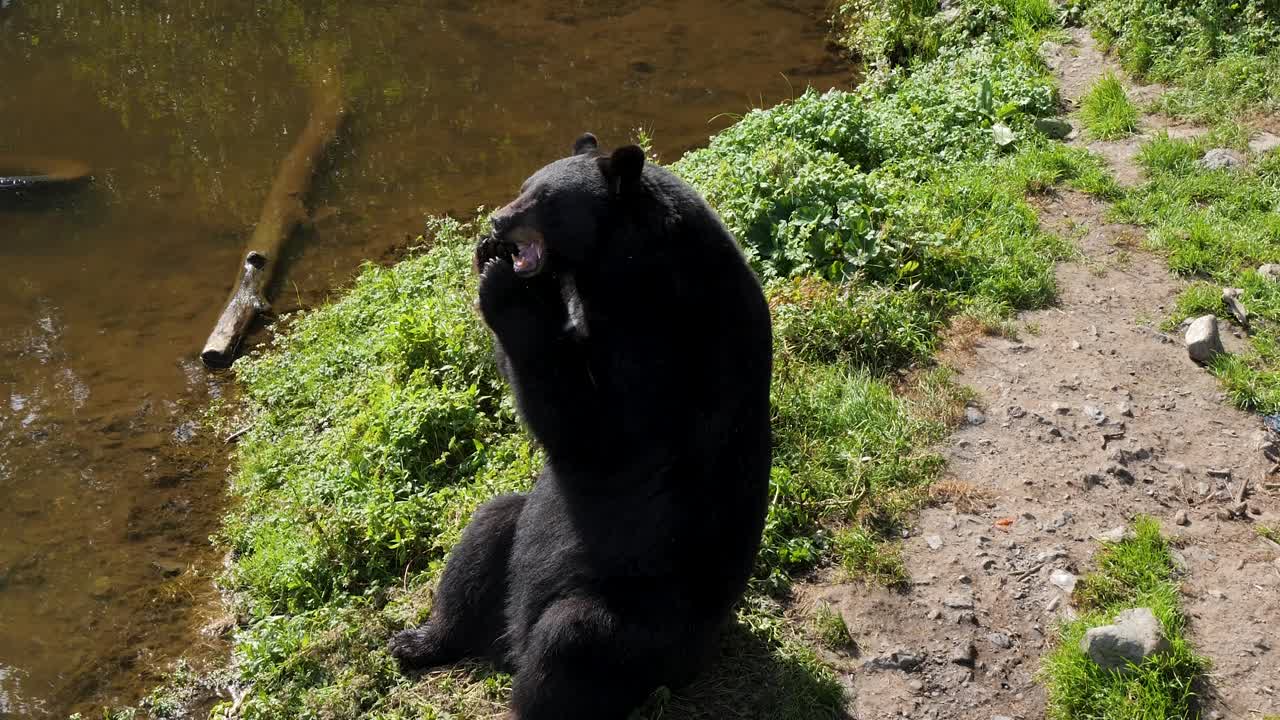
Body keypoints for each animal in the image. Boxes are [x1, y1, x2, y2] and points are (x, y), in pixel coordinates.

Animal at [388, 133, 773, 720]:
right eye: (524, 185)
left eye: (544, 200)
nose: (498, 220)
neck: (621, 269)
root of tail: (510, 644)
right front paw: (489, 261)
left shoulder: (670, 341)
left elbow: (598, 431)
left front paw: (503, 286)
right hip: (514, 543)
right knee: (486, 531)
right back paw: (417, 640)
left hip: (640, 622)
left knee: (570, 643)